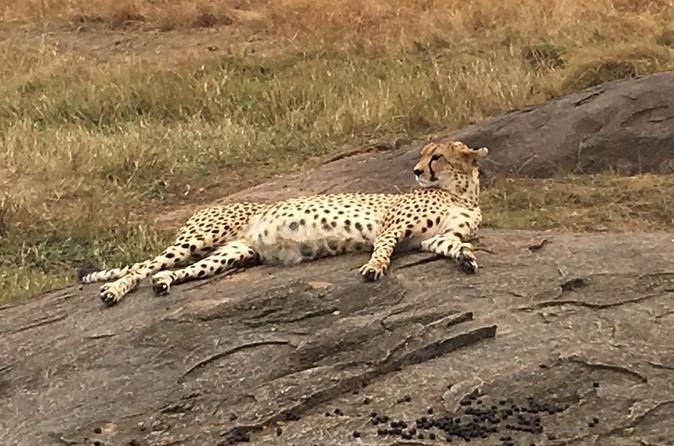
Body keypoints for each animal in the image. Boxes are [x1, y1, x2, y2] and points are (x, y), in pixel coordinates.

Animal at [77, 141, 488, 304]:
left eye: (436, 156)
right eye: (423, 156)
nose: (416, 171)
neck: (461, 193)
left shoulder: (431, 240)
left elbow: (453, 244)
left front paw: (467, 258)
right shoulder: (392, 228)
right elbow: (383, 250)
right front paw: (372, 269)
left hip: (232, 253)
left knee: (174, 271)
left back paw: (163, 283)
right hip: (199, 238)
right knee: (140, 267)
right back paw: (113, 291)